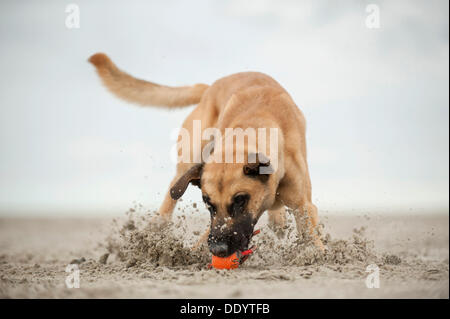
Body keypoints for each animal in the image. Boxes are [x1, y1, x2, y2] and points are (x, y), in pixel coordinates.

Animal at [89, 53, 326, 258]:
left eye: (240, 200)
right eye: (207, 203)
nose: (218, 249)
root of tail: (209, 88)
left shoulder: (303, 205)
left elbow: (309, 232)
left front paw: (319, 253)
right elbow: (205, 234)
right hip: (189, 157)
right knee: (171, 196)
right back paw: (156, 227)